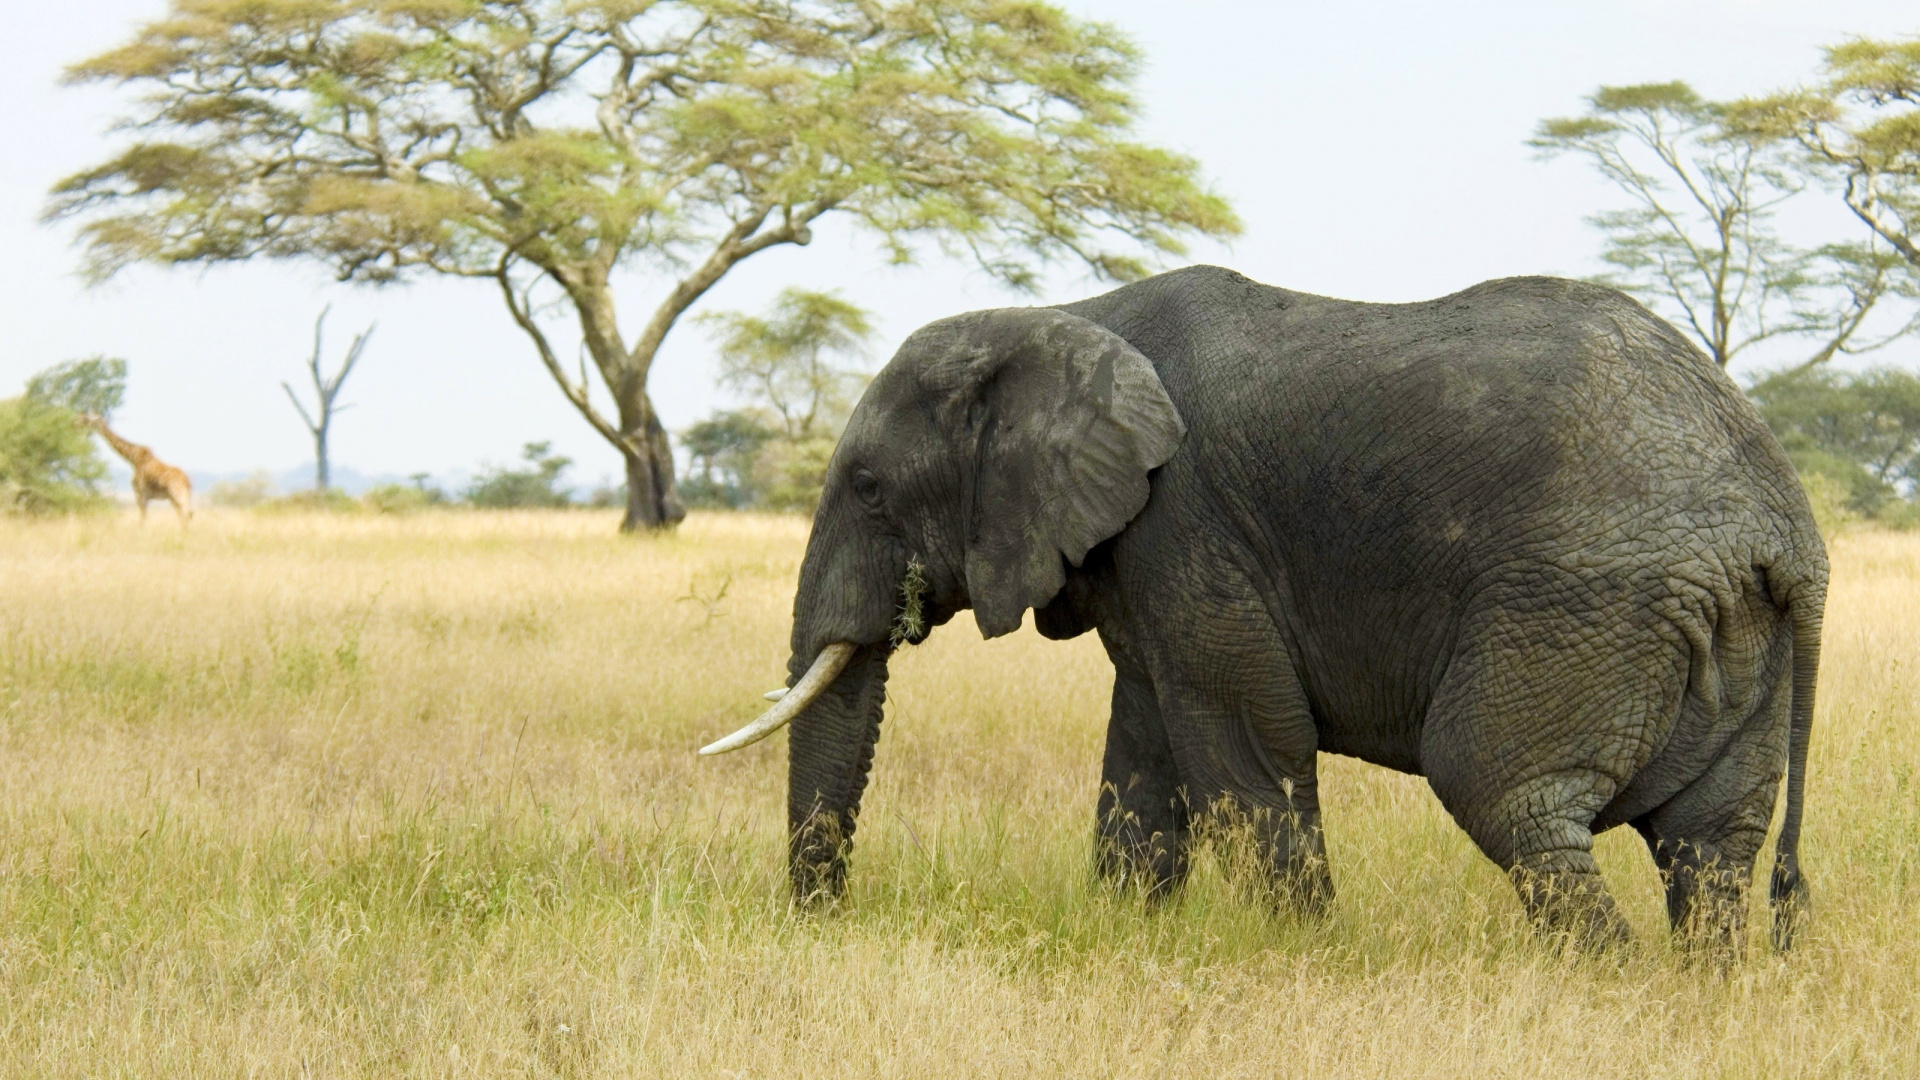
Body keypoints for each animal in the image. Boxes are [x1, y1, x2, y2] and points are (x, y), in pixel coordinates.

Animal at [698, 265, 1820, 945]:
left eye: (870, 488)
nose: (825, 921)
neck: (1066, 318)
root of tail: (1786, 526)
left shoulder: (1188, 521)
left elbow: (1245, 741)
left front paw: (1305, 950)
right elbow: (1146, 745)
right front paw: (1129, 935)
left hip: (1585, 603)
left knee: (1506, 793)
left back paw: (1604, 984)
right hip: (1730, 635)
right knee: (1710, 845)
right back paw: (1694, 994)